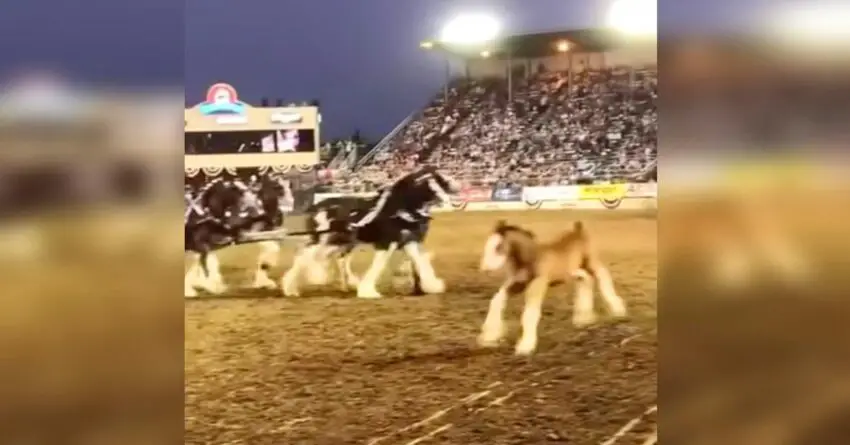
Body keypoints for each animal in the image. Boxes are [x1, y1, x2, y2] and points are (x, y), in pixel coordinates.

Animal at [480, 219, 628, 354]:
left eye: (498, 246)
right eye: (487, 244)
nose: (484, 269)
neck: (531, 259)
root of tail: (577, 230)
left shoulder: (538, 284)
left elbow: (530, 313)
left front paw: (525, 346)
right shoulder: (518, 283)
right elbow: (496, 300)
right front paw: (488, 338)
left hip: (591, 262)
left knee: (603, 276)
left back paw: (618, 311)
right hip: (575, 271)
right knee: (586, 281)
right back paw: (584, 319)